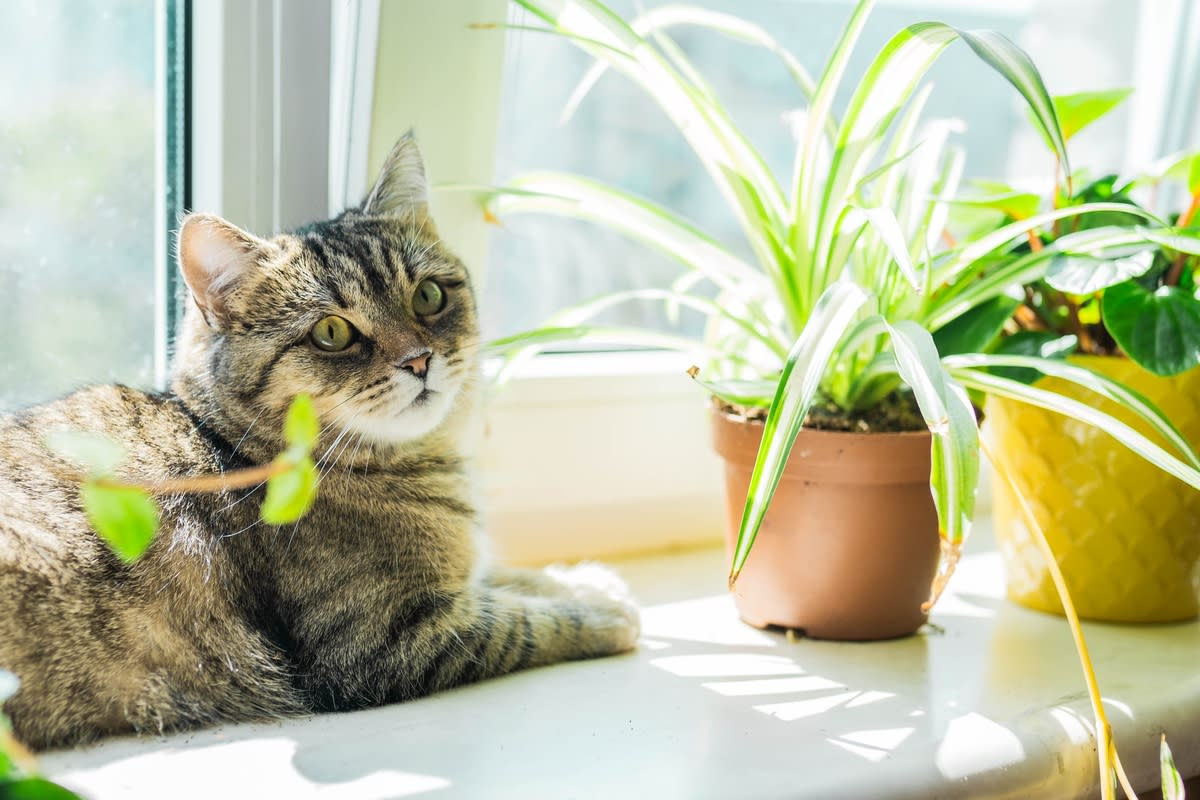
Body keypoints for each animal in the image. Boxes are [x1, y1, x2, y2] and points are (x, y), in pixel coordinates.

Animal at [0, 133, 638, 753]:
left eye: (429, 297)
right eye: (332, 332)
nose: (419, 360)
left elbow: (510, 577)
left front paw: (583, 578)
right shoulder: (381, 642)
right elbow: (525, 622)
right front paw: (604, 609)